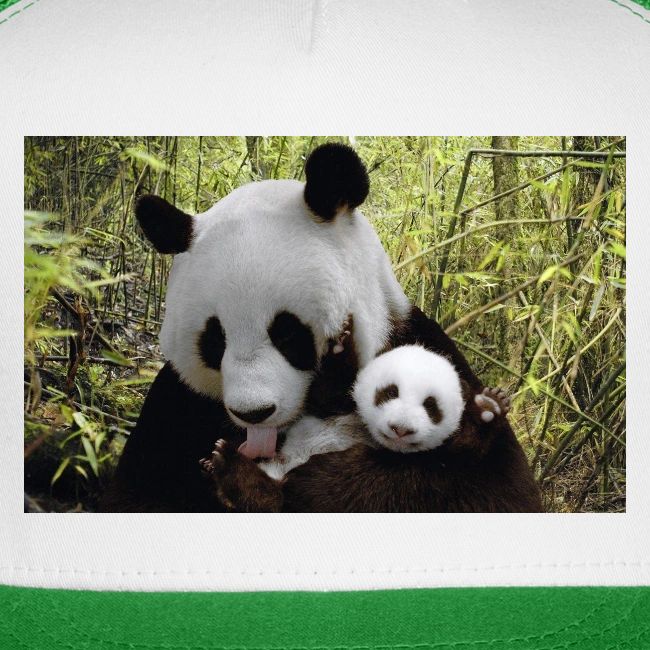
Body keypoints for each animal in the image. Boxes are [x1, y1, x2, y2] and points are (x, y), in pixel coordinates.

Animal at [100, 143, 539, 513]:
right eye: (215, 340)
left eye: (287, 333)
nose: (254, 413)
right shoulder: (178, 405)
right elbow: (138, 493)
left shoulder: (421, 346)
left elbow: (491, 488)